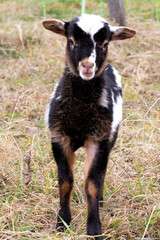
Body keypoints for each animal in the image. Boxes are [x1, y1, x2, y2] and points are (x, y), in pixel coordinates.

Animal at [42, 14, 135, 239]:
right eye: (71, 41)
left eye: (105, 44)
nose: (87, 66)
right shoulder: (59, 138)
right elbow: (65, 181)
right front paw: (62, 223)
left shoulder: (98, 140)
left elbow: (92, 183)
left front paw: (94, 229)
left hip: (111, 136)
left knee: (102, 173)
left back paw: (100, 203)